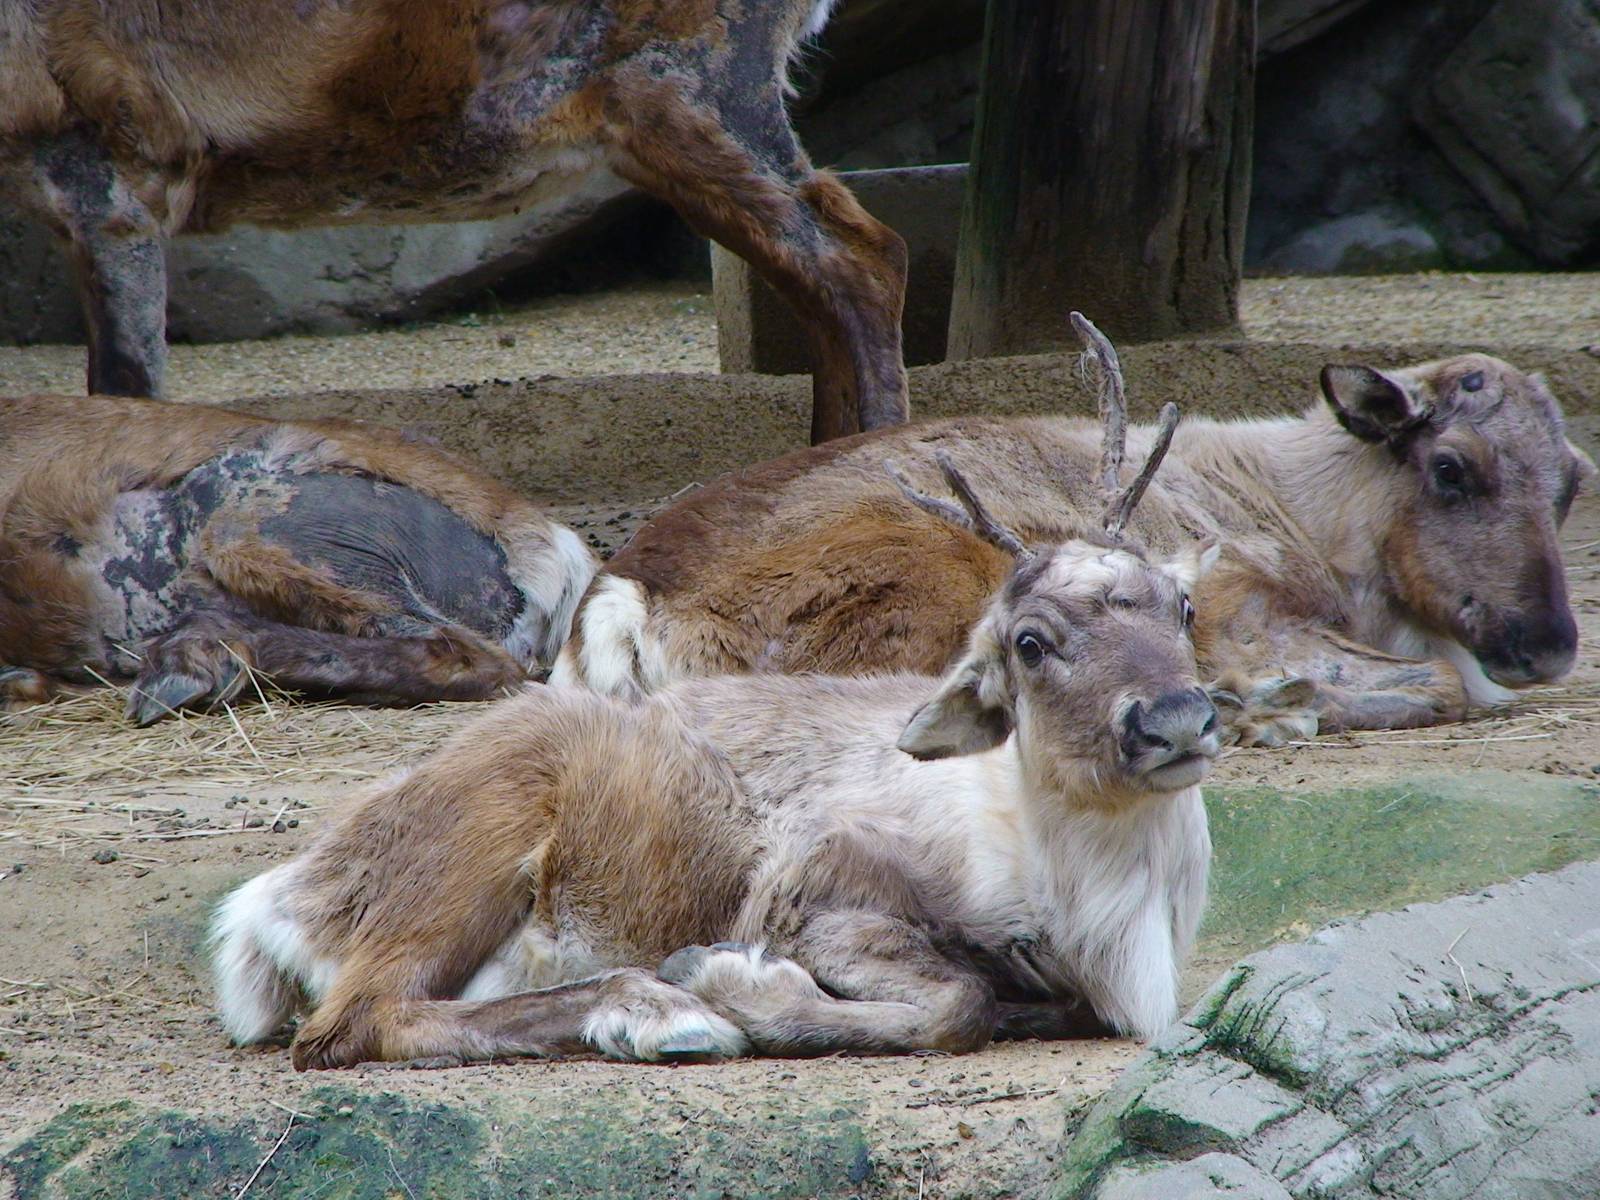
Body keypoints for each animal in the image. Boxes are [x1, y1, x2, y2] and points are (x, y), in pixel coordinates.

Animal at [211, 394, 1222, 1068]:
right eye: (1029, 641)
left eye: (1182, 605)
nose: (1176, 721)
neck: (1105, 925)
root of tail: (277, 904)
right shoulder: (812, 888)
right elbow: (957, 1002)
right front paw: (727, 981)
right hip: (474, 842)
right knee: (353, 1021)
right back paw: (661, 1012)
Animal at [554, 316, 1596, 745]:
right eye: (1451, 467)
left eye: (1574, 482)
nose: (1548, 644)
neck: (1299, 506)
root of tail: (625, 595)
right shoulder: (1246, 608)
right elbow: (1443, 684)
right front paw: (1279, 705)